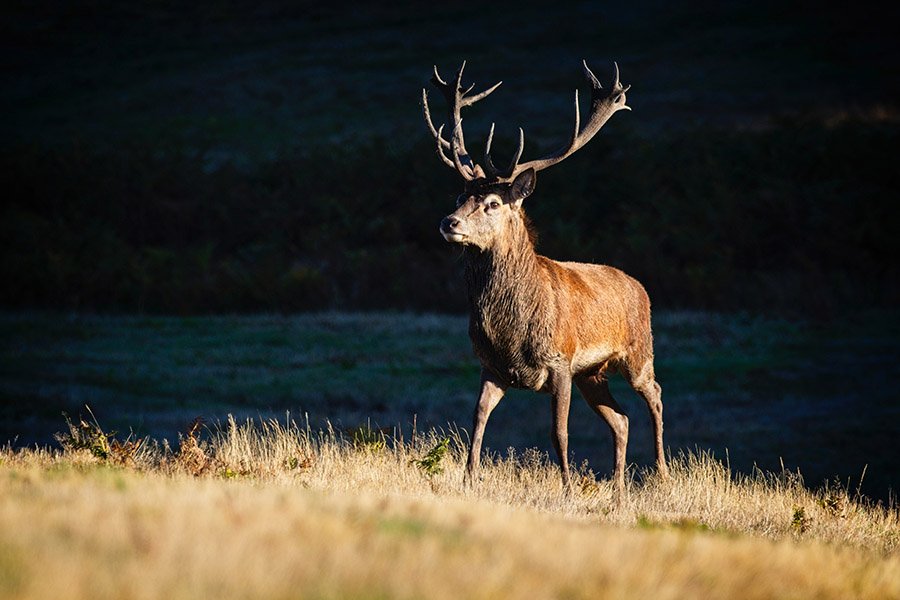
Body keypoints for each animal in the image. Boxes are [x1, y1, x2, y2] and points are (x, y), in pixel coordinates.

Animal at [422, 60, 669, 497]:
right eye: (459, 197)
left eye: (493, 203)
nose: (448, 223)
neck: (510, 329)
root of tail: (640, 287)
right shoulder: (491, 367)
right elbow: (477, 421)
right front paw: (469, 480)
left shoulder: (560, 361)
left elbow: (559, 432)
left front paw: (568, 490)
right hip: (593, 373)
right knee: (621, 418)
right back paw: (618, 489)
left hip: (637, 352)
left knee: (654, 395)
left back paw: (662, 474)